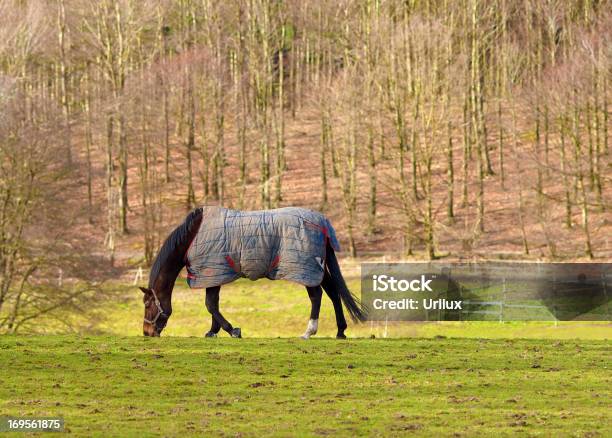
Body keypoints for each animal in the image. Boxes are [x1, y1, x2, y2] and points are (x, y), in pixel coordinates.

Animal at [141, 206, 366, 338]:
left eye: (147, 305)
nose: (147, 332)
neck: (192, 236)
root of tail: (322, 223)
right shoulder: (214, 274)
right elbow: (213, 304)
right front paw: (213, 331)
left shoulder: (212, 271)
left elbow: (210, 305)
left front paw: (232, 330)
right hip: (315, 268)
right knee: (333, 292)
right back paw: (340, 331)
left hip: (304, 269)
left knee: (316, 296)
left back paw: (309, 331)